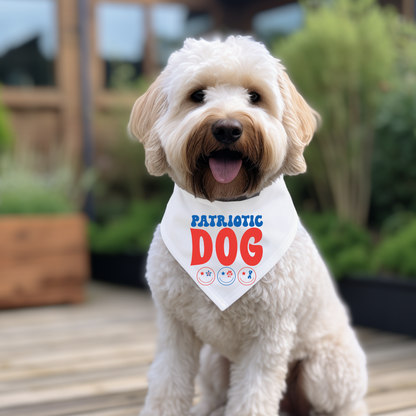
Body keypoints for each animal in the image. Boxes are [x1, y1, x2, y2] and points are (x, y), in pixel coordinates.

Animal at [127, 36, 368, 416]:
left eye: (255, 96)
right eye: (197, 95)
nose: (228, 128)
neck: (226, 211)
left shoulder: (268, 337)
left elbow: (253, 397)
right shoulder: (174, 328)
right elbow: (167, 384)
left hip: (325, 369)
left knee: (342, 404)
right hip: (214, 361)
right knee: (217, 395)